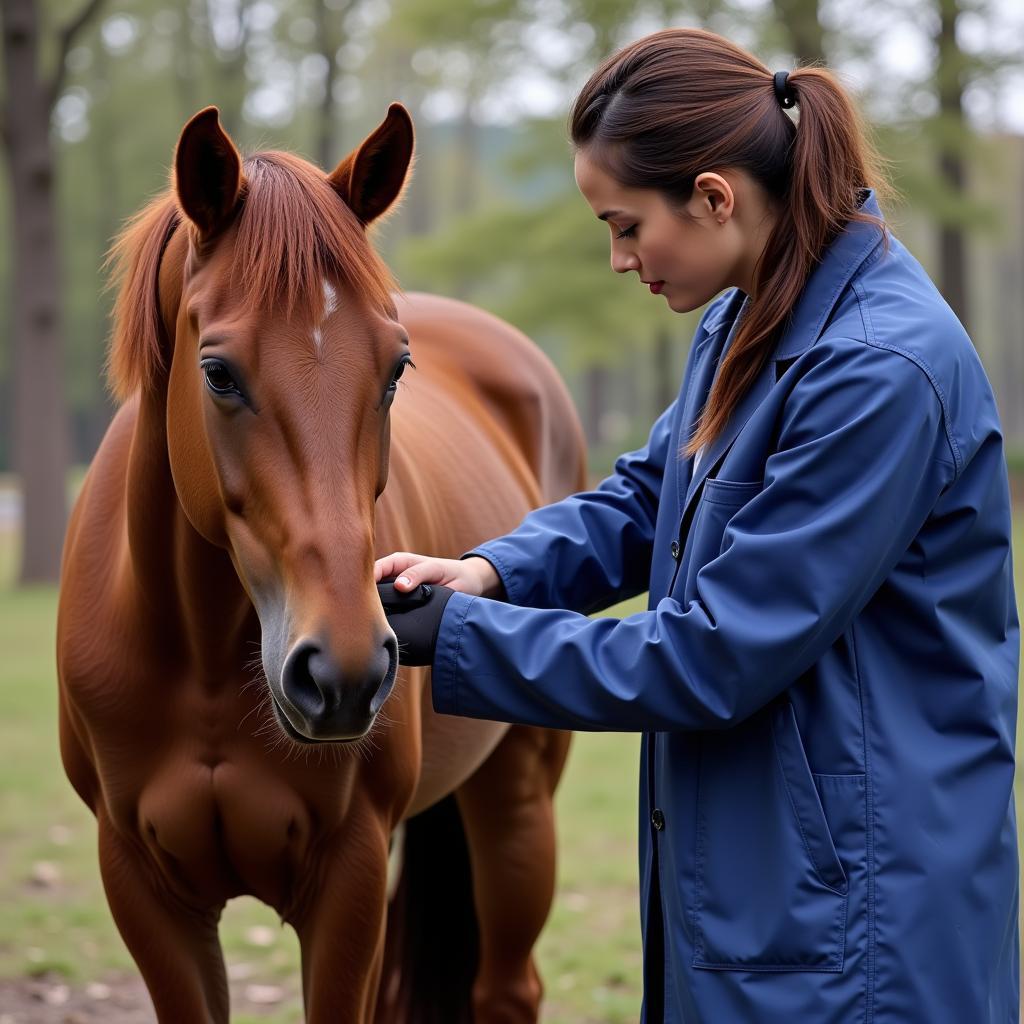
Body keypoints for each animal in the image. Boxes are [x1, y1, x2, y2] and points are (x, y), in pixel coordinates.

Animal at [54, 105, 585, 1024]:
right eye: (218, 374)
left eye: (397, 367)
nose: (343, 672)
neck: (198, 659)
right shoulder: (142, 887)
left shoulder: (349, 880)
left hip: (517, 797)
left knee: (507, 987)